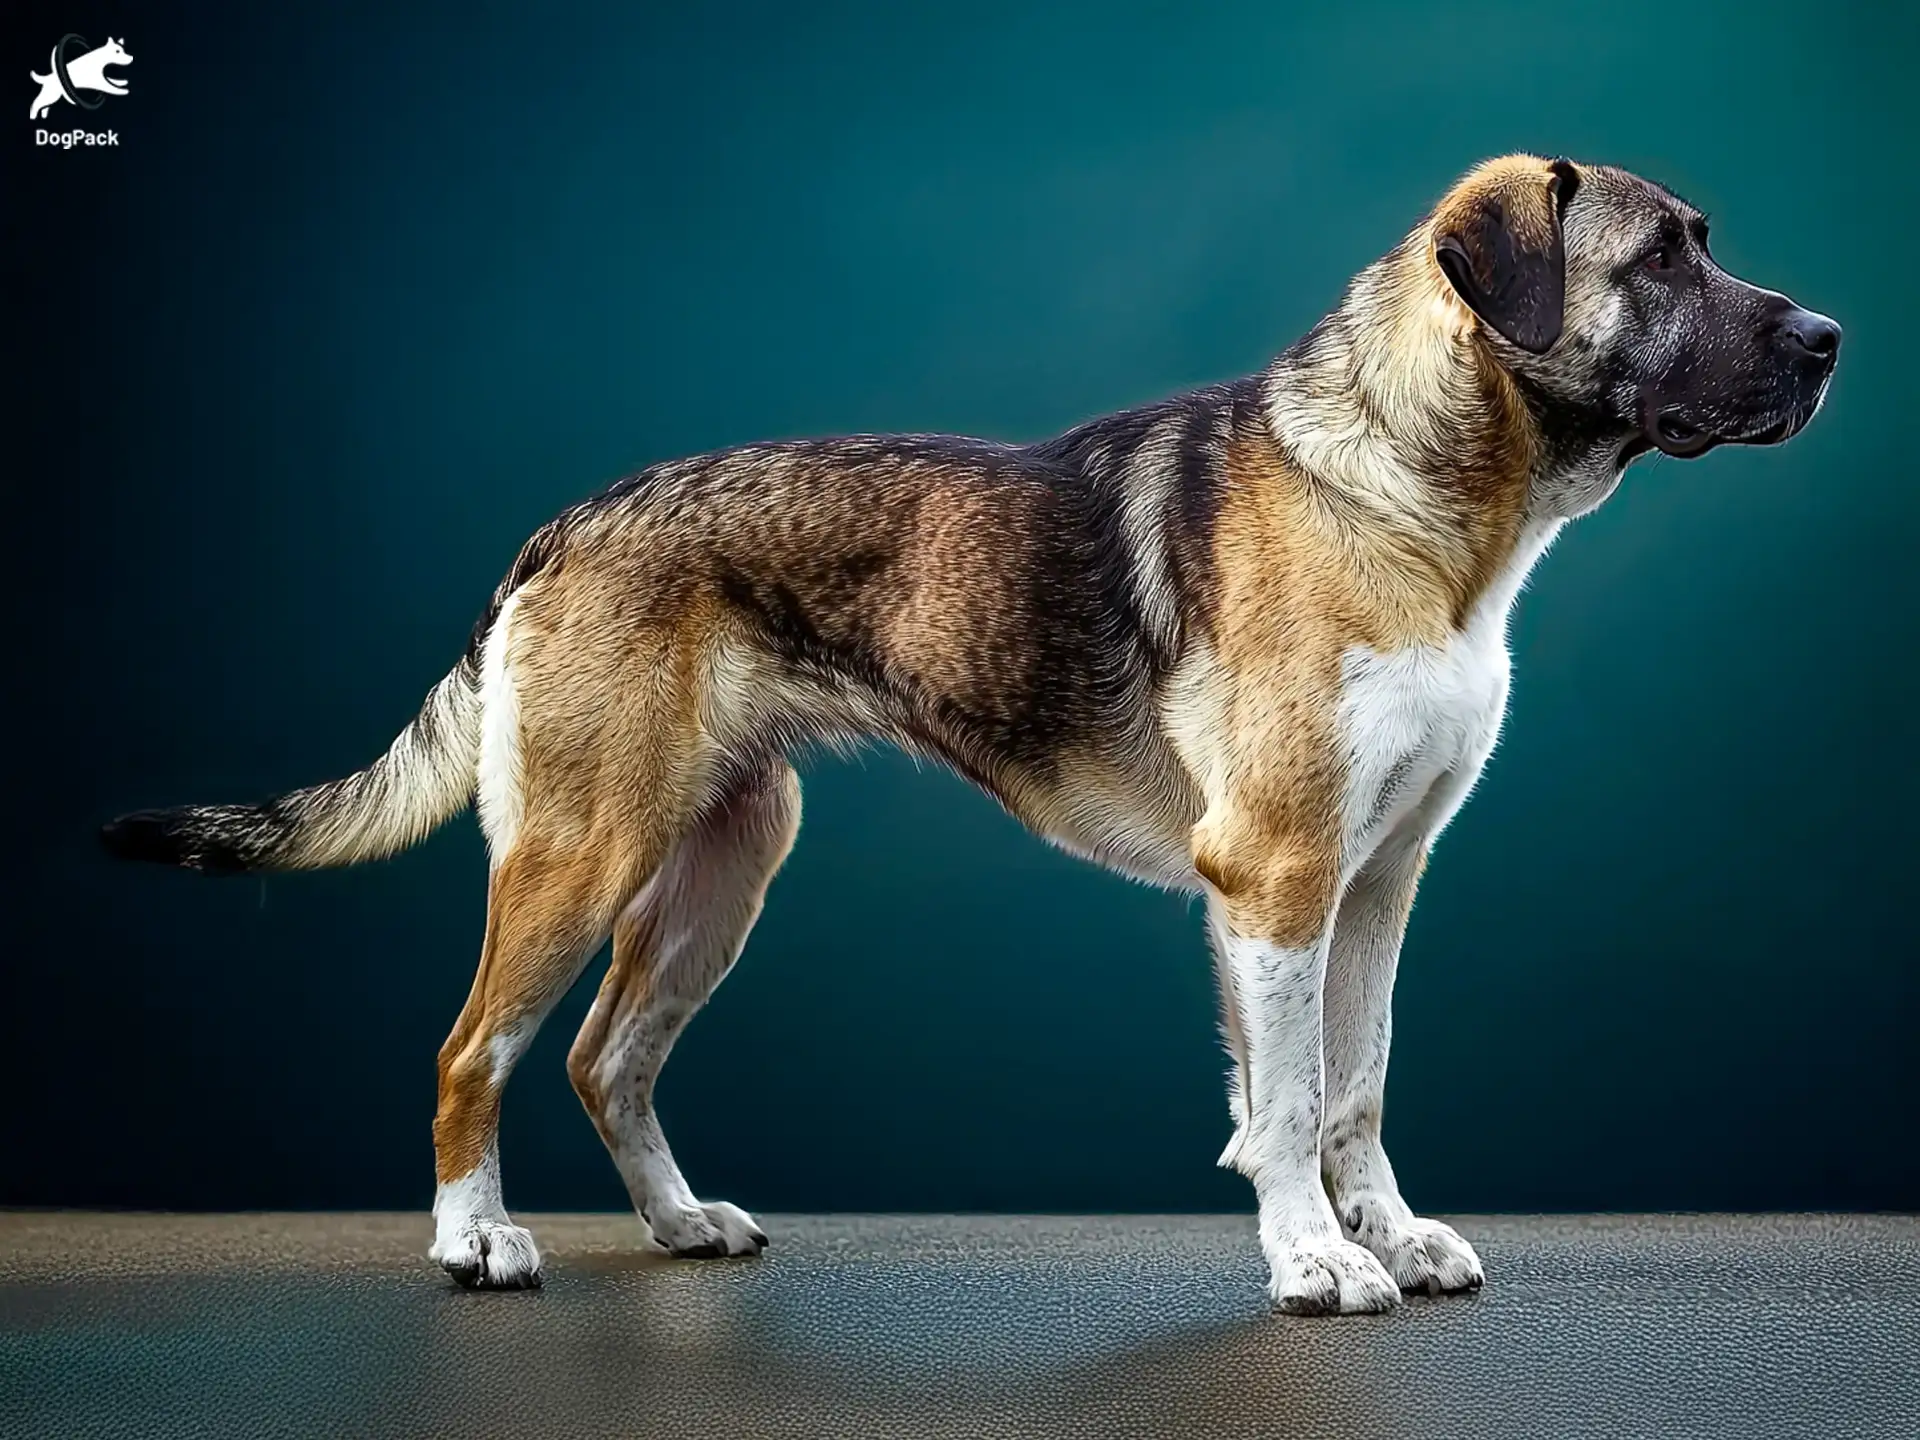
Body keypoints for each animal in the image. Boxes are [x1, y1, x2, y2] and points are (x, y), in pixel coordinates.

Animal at [97, 152, 1835, 1313]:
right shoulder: (1278, 878)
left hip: (723, 869)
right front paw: (1313, 1262)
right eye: (1660, 262)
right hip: (580, 855)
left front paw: (1387, 1236)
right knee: (479, 1050)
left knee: (606, 1059)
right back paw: (474, 1240)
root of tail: (561, 529)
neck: (1419, 504)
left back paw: (682, 1227)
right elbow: (1279, 1107)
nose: (1826, 338)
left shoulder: (1377, 884)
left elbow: (1357, 1088)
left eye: (1705, 247)